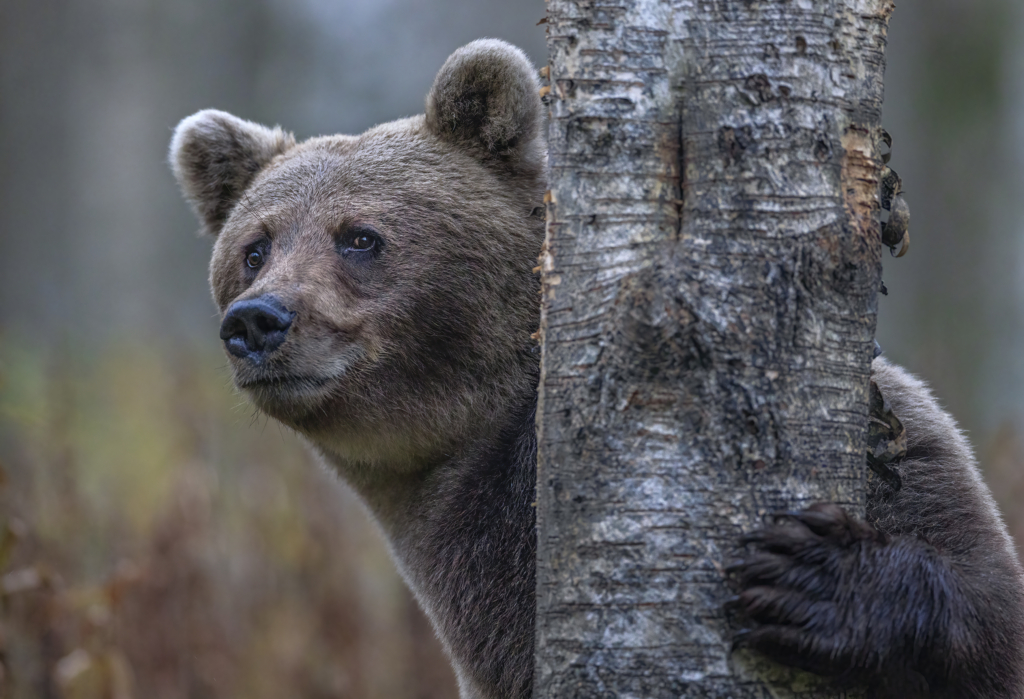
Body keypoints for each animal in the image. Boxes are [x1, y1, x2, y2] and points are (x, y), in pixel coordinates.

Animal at [169, 36, 1024, 699]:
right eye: (255, 246)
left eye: (359, 236)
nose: (258, 320)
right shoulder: (489, 601)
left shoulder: (916, 455)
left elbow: (989, 606)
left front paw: (811, 571)